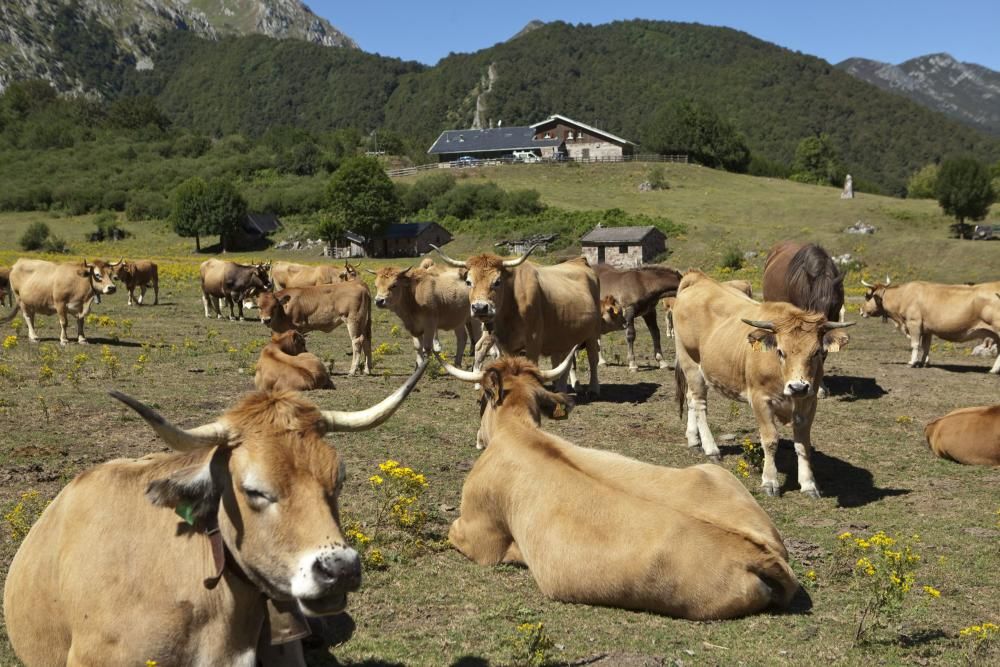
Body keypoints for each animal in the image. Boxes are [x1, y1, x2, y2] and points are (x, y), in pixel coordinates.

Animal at [432, 245, 600, 396]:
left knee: (592, 358)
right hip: (565, 336)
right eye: (468, 282)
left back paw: (592, 388)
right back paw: (561, 387)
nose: (480, 308)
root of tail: (580, 261)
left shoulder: (533, 342)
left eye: (497, 281)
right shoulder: (507, 346)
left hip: (592, 333)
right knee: (564, 361)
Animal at [672, 270, 852, 496]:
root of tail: (699, 279)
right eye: (780, 351)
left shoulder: (809, 402)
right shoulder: (760, 399)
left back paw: (693, 439)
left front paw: (809, 484)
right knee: (699, 404)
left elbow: (803, 445)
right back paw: (710, 447)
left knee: (691, 400)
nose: (798, 387)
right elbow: (770, 440)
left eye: (817, 352)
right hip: (690, 362)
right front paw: (770, 481)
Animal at [860, 274, 1000, 374]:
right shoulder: (927, 329)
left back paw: (993, 370)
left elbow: (915, 344)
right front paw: (924, 362)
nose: (861, 310)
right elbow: (926, 346)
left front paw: (912, 362)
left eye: (867, 295)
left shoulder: (914, 323)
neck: (903, 296)